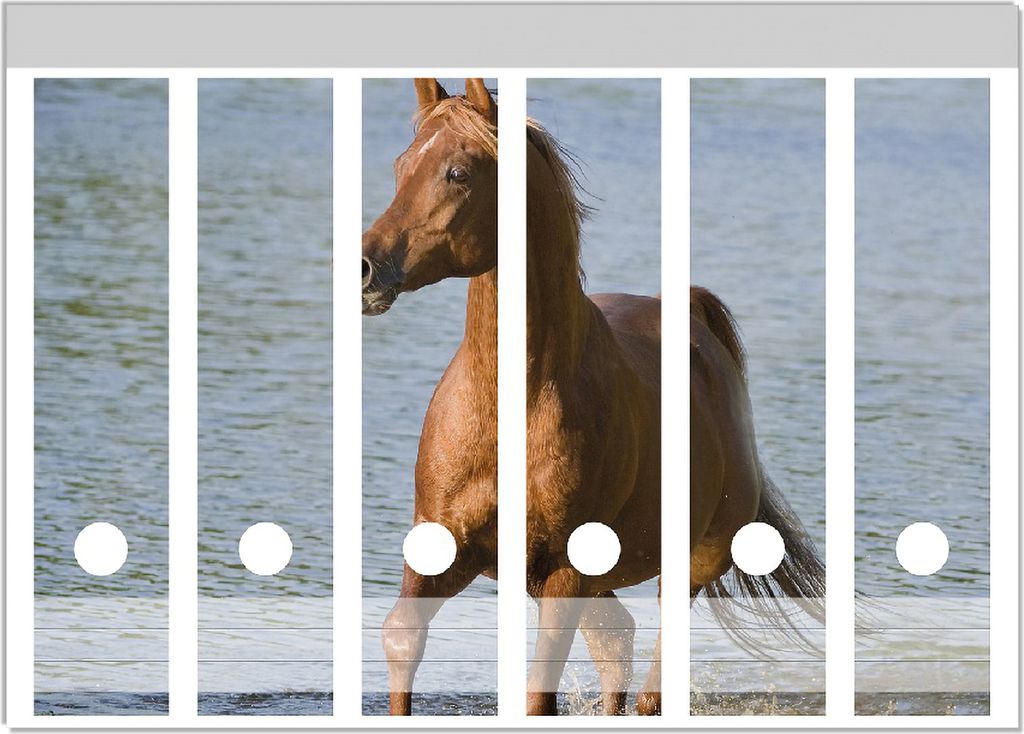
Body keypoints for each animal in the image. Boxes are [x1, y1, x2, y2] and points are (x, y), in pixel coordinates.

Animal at [362, 78, 825, 717]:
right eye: (401, 165)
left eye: (457, 172)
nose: (365, 268)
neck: (512, 408)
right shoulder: (444, 545)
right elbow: (402, 638)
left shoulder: (564, 569)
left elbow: (539, 691)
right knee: (616, 644)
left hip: (684, 565)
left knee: (650, 678)